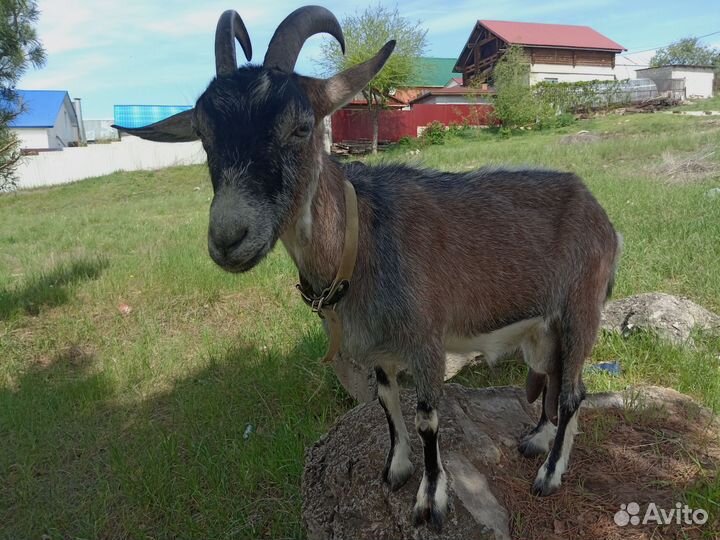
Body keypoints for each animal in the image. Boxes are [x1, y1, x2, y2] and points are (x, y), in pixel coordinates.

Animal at [114, 6, 622, 531]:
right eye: (204, 136)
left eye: (300, 127)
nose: (229, 238)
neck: (361, 242)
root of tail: (600, 214)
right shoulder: (377, 347)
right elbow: (385, 402)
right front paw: (394, 468)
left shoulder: (426, 341)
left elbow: (427, 418)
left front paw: (430, 501)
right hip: (543, 328)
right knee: (556, 378)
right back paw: (538, 440)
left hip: (581, 307)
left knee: (573, 392)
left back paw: (550, 474)